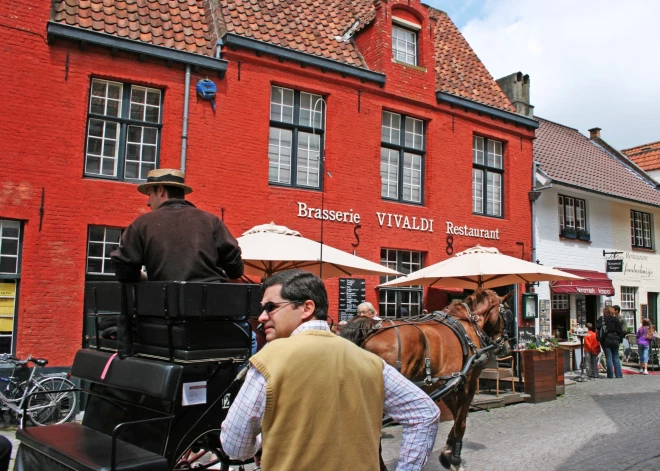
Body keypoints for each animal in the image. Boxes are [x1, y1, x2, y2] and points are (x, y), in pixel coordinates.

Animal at [340, 288, 516, 471]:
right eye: (508, 314)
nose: (506, 347)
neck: (468, 323)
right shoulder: (469, 381)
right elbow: (461, 420)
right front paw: (455, 459)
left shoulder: (446, 382)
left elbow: (456, 415)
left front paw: (447, 451)